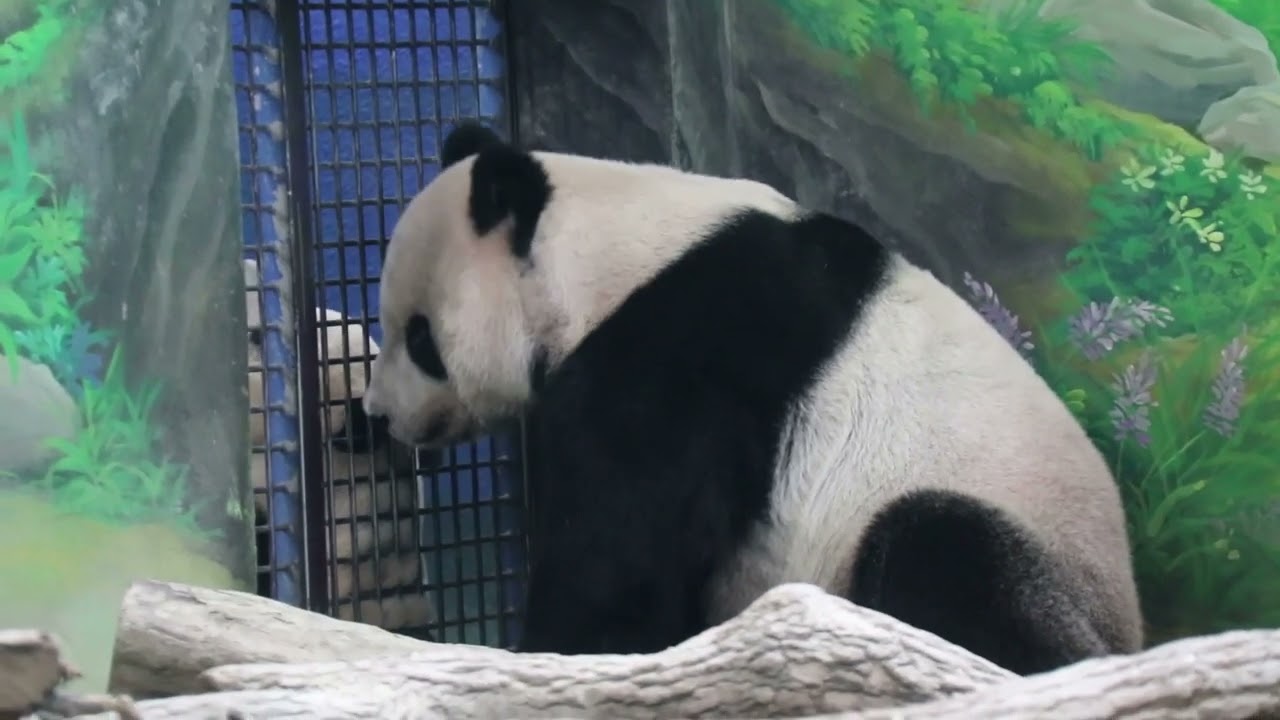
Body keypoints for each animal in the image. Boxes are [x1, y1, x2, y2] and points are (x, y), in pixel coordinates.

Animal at [359, 123, 1145, 674]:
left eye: (421, 339)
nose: (378, 414)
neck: (607, 252)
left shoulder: (686, 350)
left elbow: (621, 550)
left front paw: (555, 649)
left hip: (1038, 551)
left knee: (944, 547)